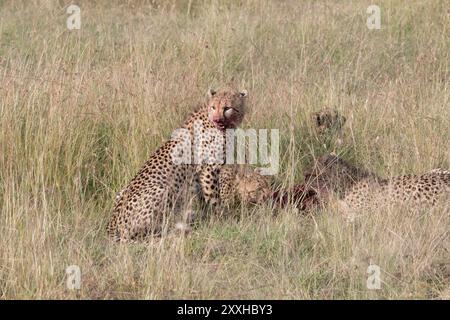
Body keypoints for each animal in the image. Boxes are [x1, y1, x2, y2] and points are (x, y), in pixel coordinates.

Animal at [108, 86, 250, 241]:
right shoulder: (208, 171)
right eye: (213, 107)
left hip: (122, 192)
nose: (217, 119)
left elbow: (205, 201)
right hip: (164, 190)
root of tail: (112, 227)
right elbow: (214, 200)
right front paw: (222, 220)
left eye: (227, 108)